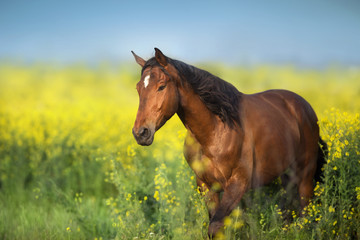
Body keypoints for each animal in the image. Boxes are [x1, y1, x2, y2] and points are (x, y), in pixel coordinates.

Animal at [131, 48, 326, 236]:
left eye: (161, 86)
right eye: (138, 88)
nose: (140, 133)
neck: (216, 130)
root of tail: (305, 107)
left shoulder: (237, 184)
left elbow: (215, 227)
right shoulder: (206, 186)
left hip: (305, 175)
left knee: (304, 212)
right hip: (287, 174)